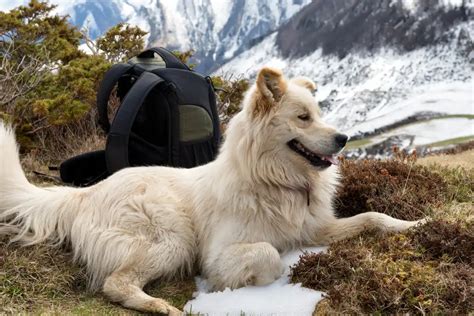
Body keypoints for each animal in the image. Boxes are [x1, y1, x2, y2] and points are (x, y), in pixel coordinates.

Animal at [0, 68, 420, 314]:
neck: (276, 181)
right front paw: (244, 284)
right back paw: (159, 306)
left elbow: (373, 216)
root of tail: (84, 193)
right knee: (114, 283)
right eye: (303, 118)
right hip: (171, 239)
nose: (343, 138)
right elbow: (269, 254)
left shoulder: (315, 227)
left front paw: (414, 224)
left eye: (318, 114)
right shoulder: (220, 252)